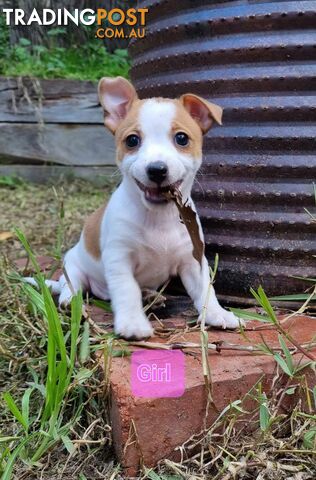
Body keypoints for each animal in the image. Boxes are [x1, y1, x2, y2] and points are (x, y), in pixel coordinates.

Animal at [27, 76, 241, 338]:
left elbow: (205, 288)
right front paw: (132, 322)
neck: (159, 217)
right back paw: (70, 300)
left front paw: (217, 313)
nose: (157, 169)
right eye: (132, 140)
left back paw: (150, 295)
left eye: (181, 138)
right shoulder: (119, 259)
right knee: (72, 285)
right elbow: (127, 290)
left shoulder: (192, 261)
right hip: (73, 266)